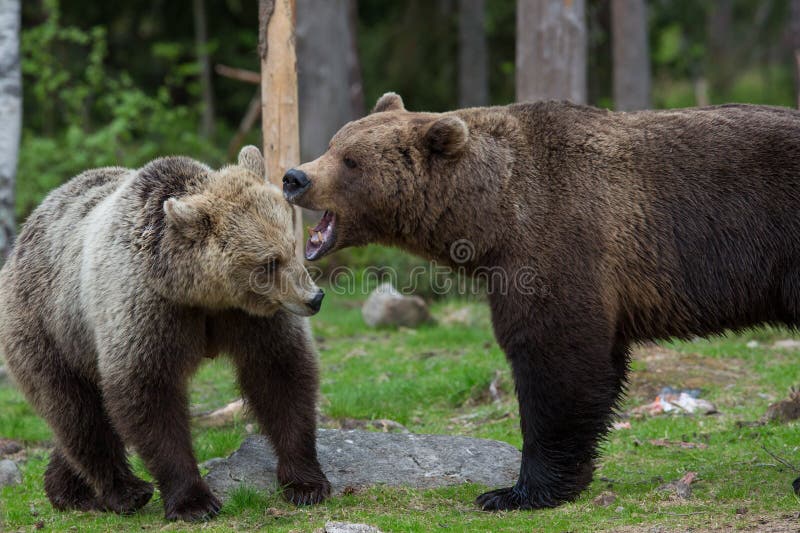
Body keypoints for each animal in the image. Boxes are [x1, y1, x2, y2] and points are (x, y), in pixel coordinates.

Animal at [0, 145, 332, 520]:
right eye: (268, 262)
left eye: (291, 245)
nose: (314, 298)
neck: (201, 292)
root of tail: (22, 237)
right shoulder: (148, 309)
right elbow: (148, 392)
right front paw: (195, 502)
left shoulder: (248, 317)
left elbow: (279, 373)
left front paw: (306, 483)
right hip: (47, 328)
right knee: (76, 410)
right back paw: (126, 492)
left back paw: (67, 489)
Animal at [284, 95, 800, 512]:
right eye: (333, 143)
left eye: (351, 160)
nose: (294, 177)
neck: (493, 215)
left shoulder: (561, 242)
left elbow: (557, 361)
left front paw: (513, 492)